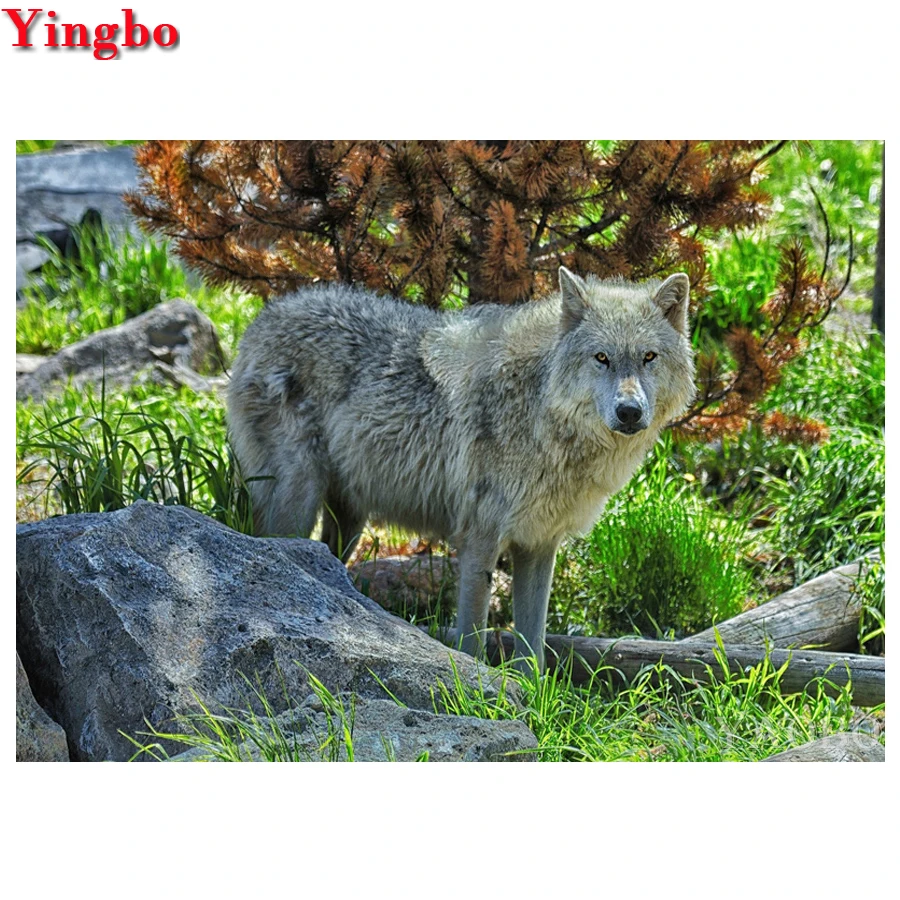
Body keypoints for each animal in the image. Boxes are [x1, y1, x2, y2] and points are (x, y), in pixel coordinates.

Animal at [227, 267, 696, 672]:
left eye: (648, 357)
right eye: (602, 358)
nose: (630, 412)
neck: (541, 411)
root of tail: (262, 319)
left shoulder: (539, 545)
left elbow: (533, 648)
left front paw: (533, 700)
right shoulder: (479, 539)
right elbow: (473, 635)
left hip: (348, 524)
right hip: (298, 504)